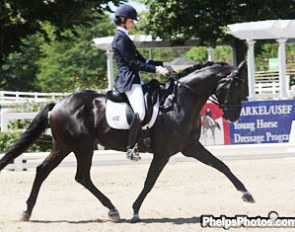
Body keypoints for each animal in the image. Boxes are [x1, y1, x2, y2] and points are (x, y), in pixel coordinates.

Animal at [0, 61, 254, 223]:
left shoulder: (190, 147)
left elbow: (222, 165)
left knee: (43, 170)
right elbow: (150, 182)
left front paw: (246, 194)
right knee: (81, 176)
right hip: (82, 146)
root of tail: (58, 104)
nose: (234, 116)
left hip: (63, 146)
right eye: (235, 86)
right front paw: (135, 211)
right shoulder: (164, 152)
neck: (180, 101)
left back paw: (27, 212)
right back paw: (113, 210)